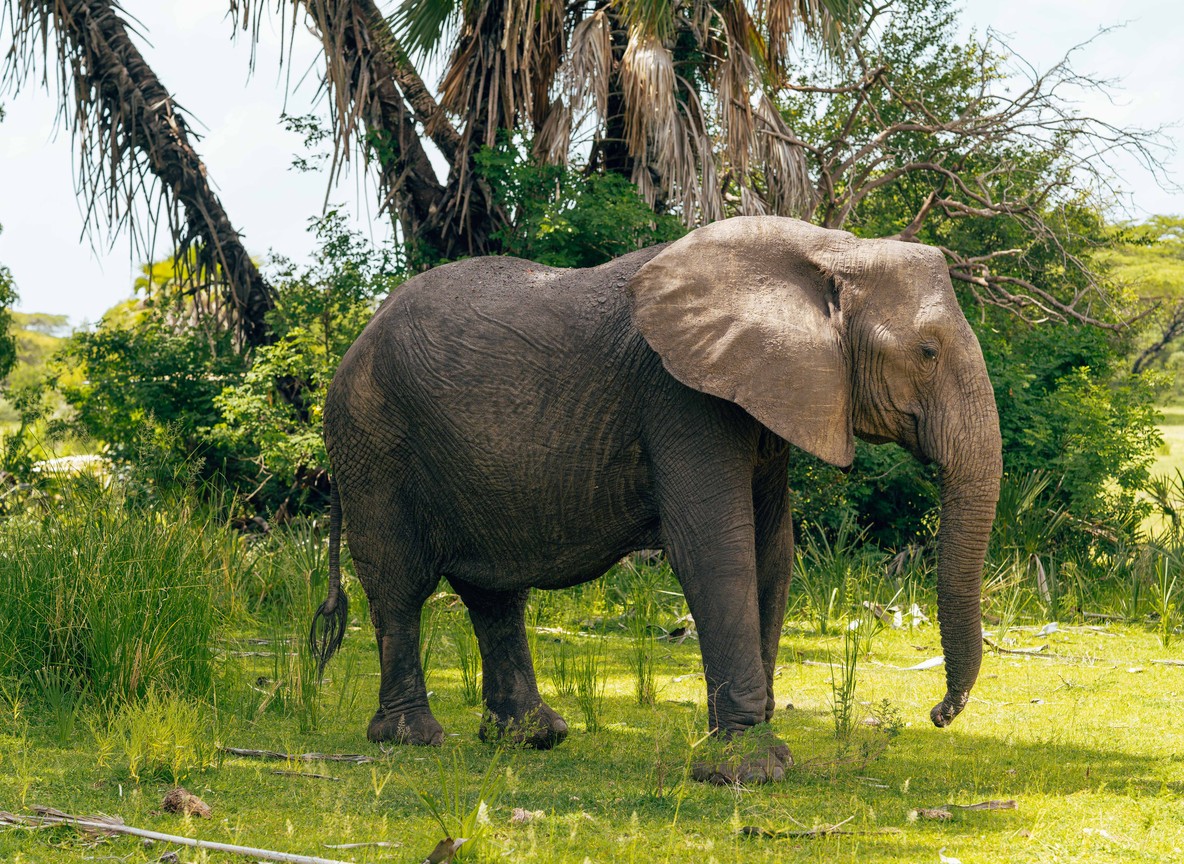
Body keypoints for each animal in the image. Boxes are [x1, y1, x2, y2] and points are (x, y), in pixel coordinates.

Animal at [310, 215, 1002, 783]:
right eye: (928, 351)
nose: (938, 714)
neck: (828, 250)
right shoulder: (680, 397)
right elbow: (716, 550)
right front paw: (746, 771)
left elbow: (772, 550)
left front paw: (758, 748)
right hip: (373, 438)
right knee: (399, 584)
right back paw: (413, 739)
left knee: (494, 591)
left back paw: (532, 737)